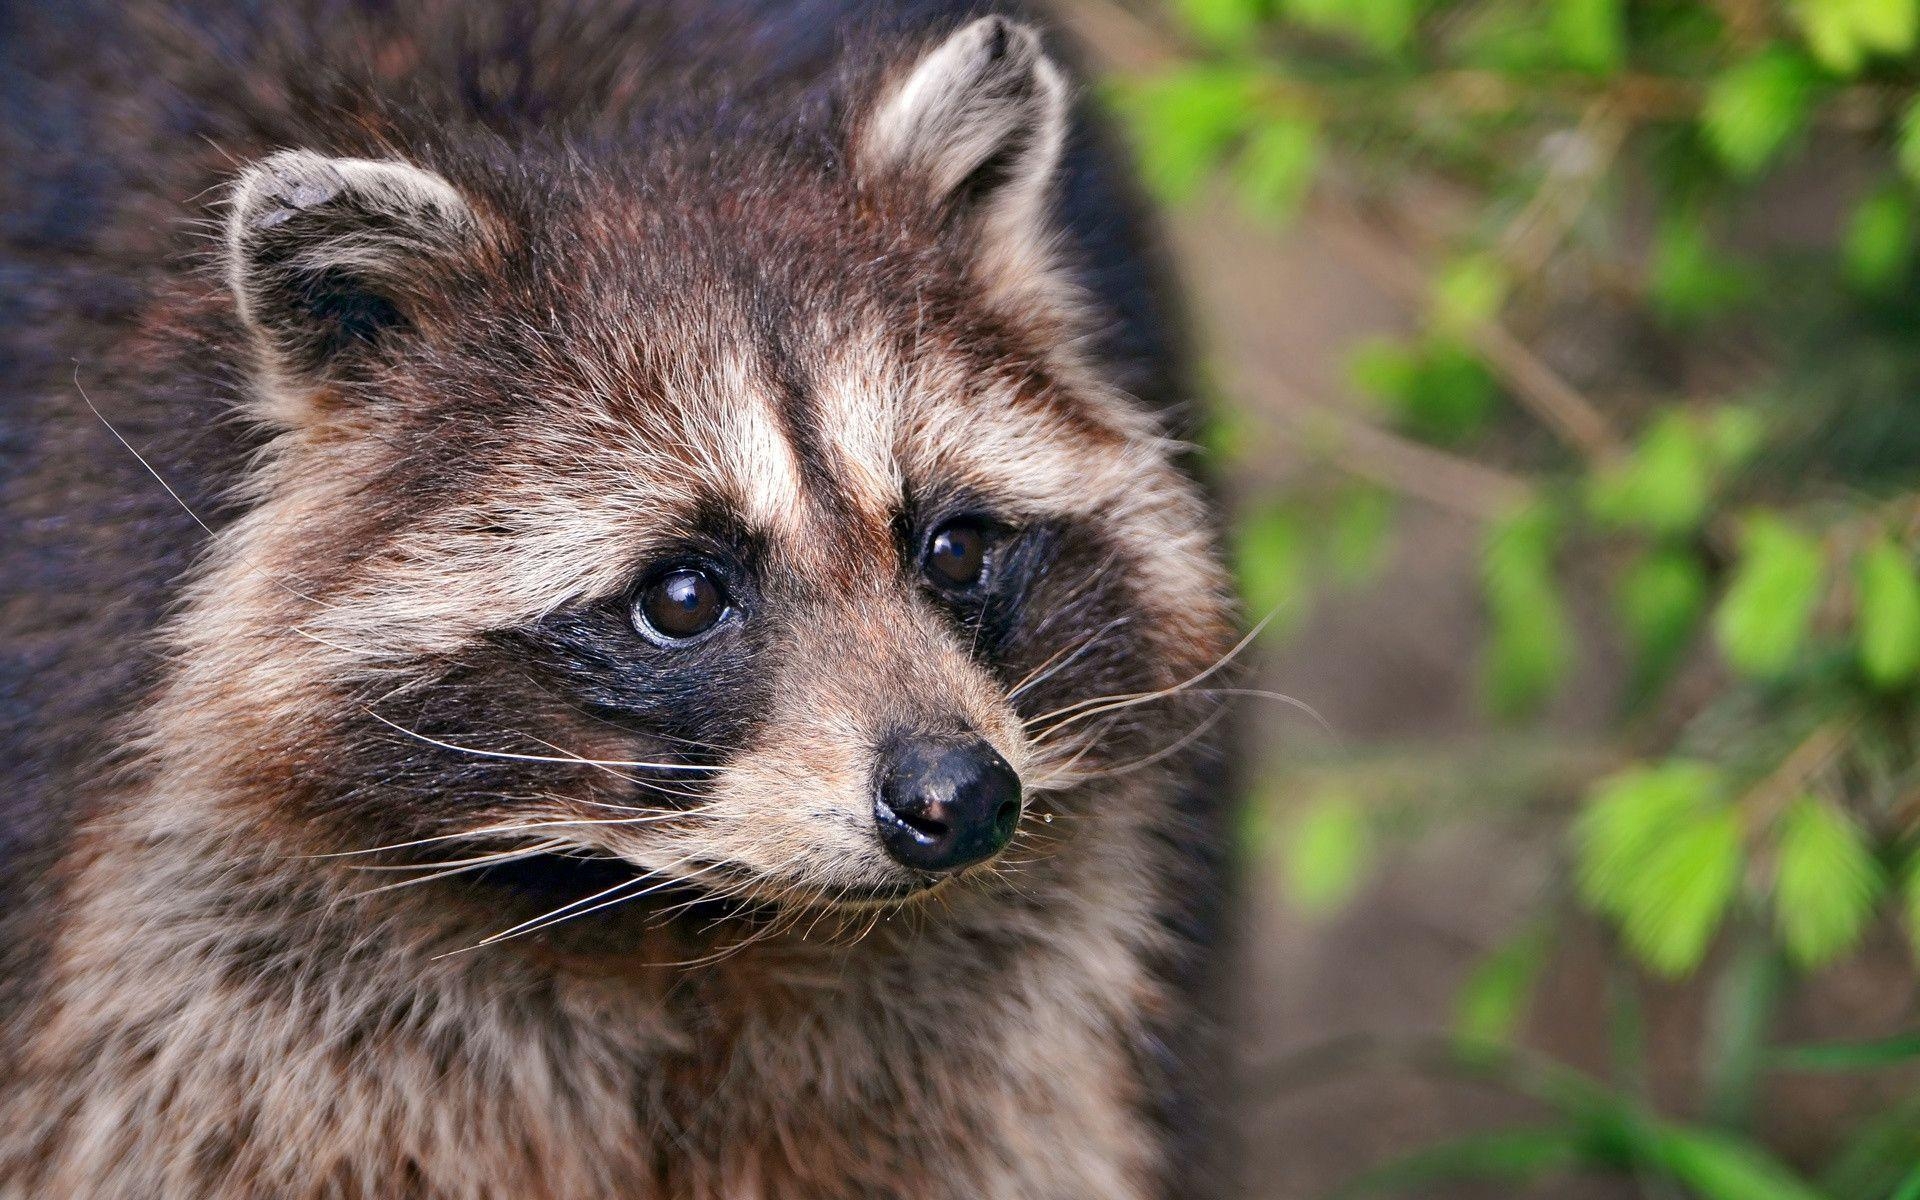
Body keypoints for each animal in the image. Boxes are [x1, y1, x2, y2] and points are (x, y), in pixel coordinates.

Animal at [0, 2, 1236, 1198]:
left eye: (955, 549)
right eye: (683, 596)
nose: (960, 796)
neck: (682, 921)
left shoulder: (985, 1036)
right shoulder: (214, 984)